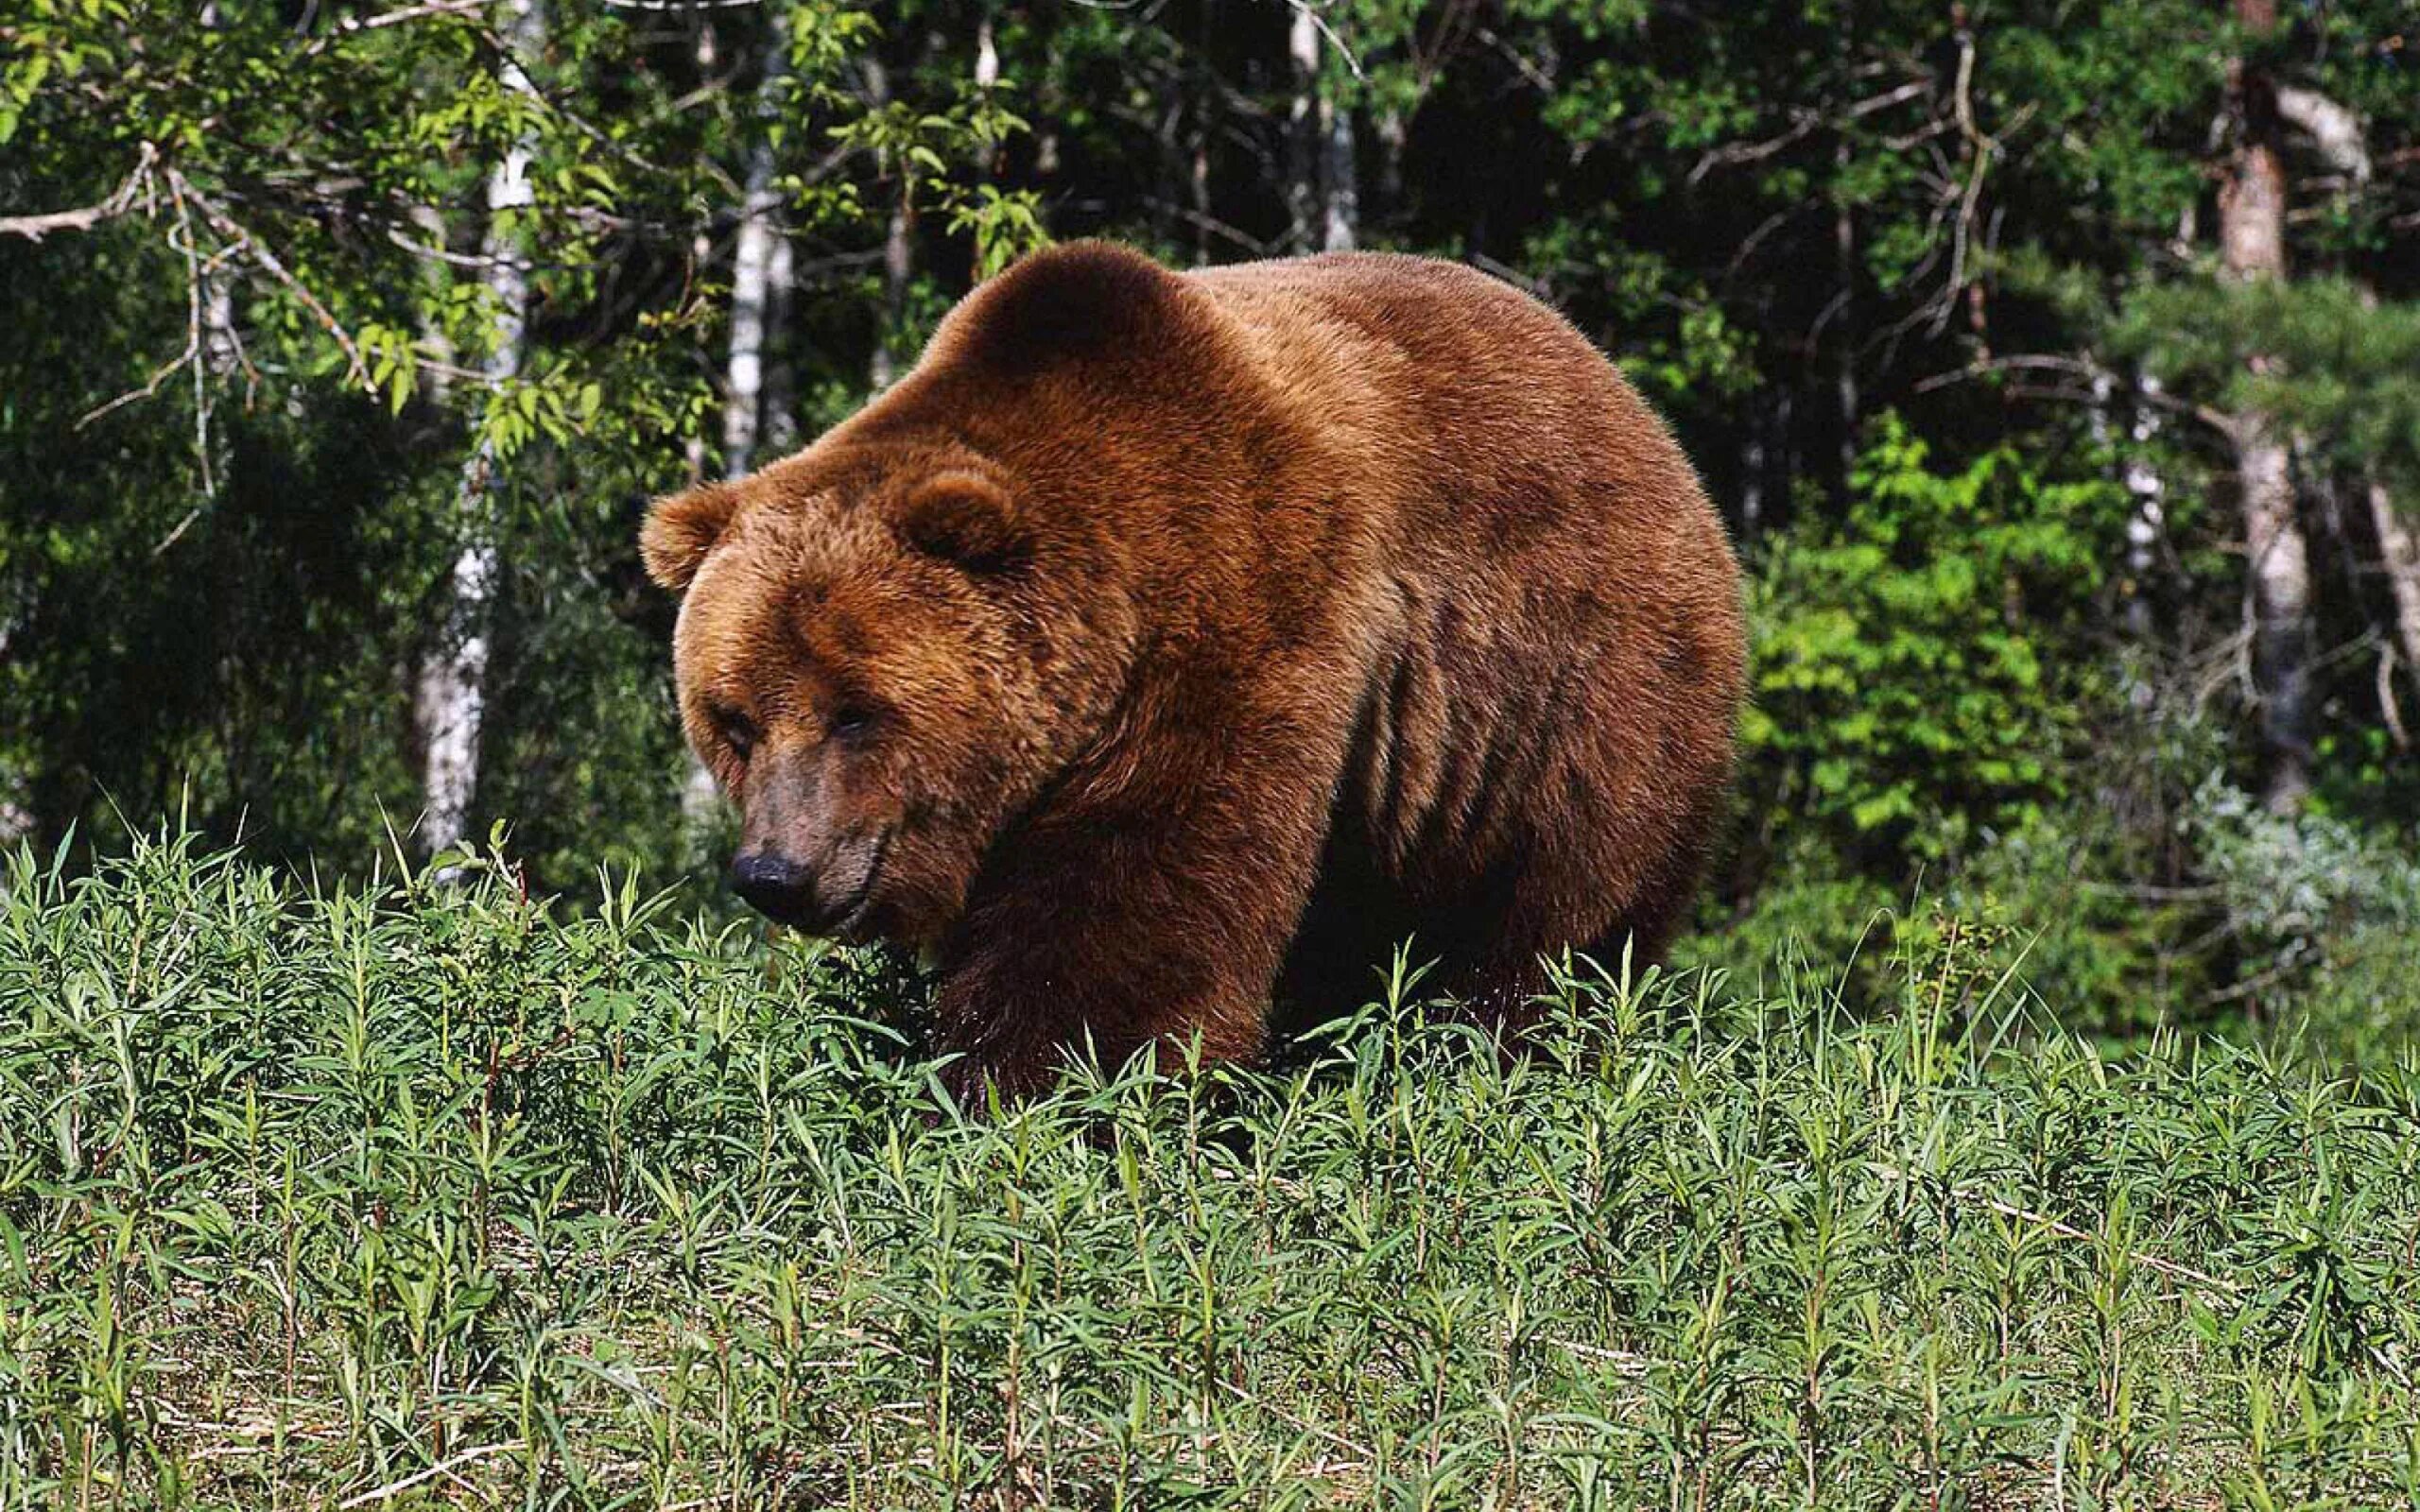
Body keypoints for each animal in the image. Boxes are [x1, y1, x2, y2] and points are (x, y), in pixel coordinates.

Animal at [643, 244, 1742, 1098]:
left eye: (856, 712)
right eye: (732, 720)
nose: (774, 873)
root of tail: (1638, 410)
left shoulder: (1238, 620)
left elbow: (1138, 905)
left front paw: (1040, 1086)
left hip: (1577, 691)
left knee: (1560, 911)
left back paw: (1504, 1053)